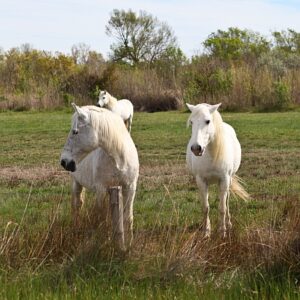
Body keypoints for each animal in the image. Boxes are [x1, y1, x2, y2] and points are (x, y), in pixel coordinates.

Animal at [60, 104, 139, 250]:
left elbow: (127, 217)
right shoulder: (101, 189)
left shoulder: (130, 188)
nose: (64, 161)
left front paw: (129, 244)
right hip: (76, 183)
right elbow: (101, 217)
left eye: (75, 132)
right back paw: (75, 228)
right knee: (76, 206)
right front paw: (105, 242)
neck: (119, 158)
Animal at [186, 102, 250, 238]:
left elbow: (222, 208)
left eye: (207, 121)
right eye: (192, 122)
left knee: (227, 200)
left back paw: (228, 224)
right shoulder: (201, 181)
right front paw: (206, 232)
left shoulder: (224, 179)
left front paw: (222, 232)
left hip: (228, 180)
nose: (196, 148)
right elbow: (205, 208)